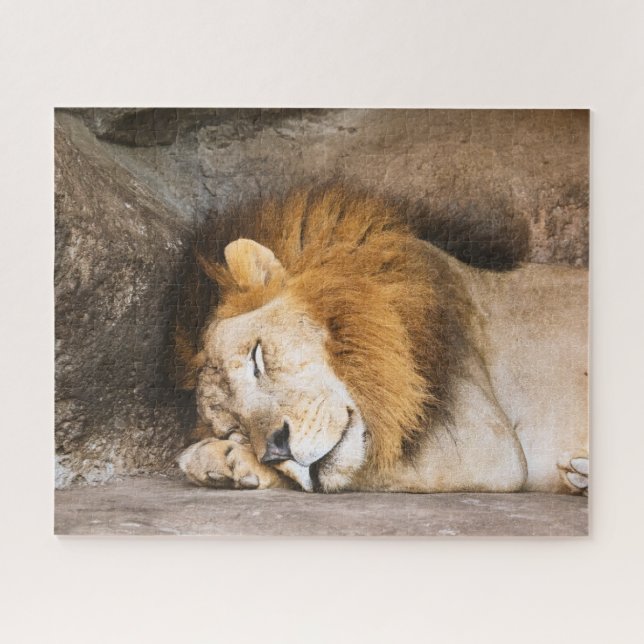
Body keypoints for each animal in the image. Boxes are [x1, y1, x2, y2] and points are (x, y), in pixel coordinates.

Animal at [175, 186, 588, 494]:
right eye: (236, 429)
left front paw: (217, 459)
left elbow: (360, 464)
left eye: (256, 358)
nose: (278, 449)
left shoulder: (486, 442)